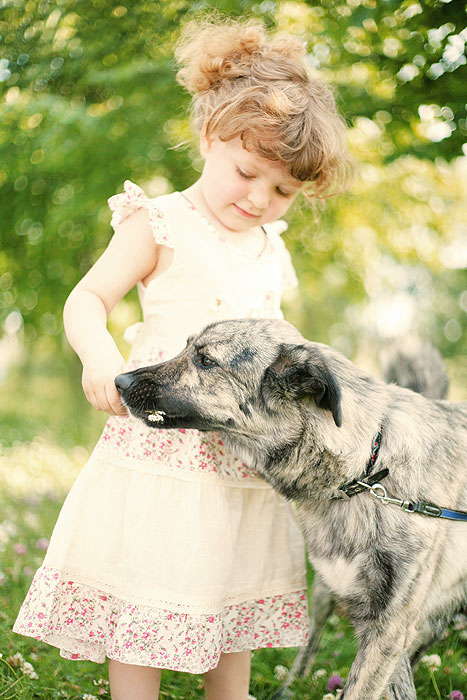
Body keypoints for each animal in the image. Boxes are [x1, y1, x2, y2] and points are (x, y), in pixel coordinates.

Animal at [115, 319, 467, 700]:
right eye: (186, 347)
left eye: (206, 360)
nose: (119, 381)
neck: (368, 470)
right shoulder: (386, 627)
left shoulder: (390, 627)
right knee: (309, 648)